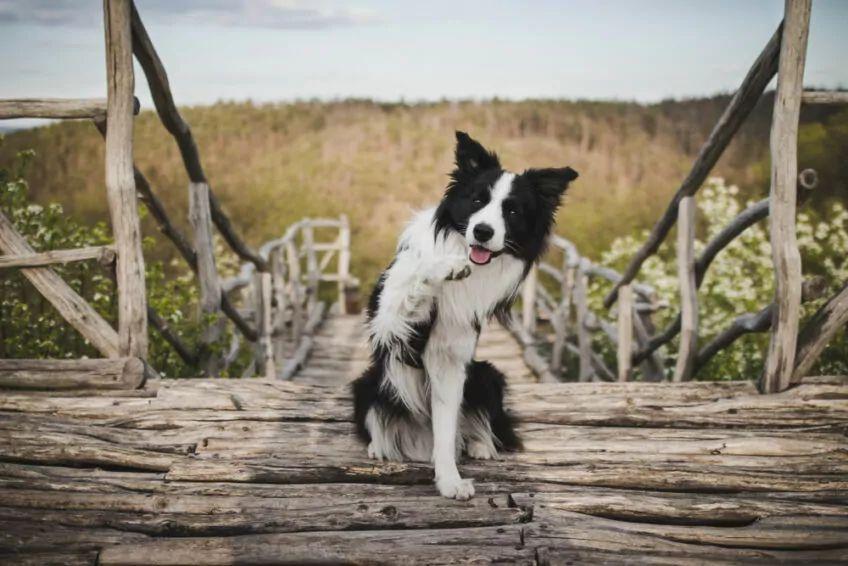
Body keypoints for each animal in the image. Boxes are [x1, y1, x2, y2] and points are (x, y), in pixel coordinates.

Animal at [350, 131, 576, 500]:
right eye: (477, 200)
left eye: (512, 210)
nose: (483, 231)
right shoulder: (388, 323)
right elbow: (418, 275)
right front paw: (444, 266)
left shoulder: (450, 359)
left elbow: (445, 428)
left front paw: (449, 480)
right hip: (368, 382)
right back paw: (379, 447)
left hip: (487, 374)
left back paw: (480, 444)